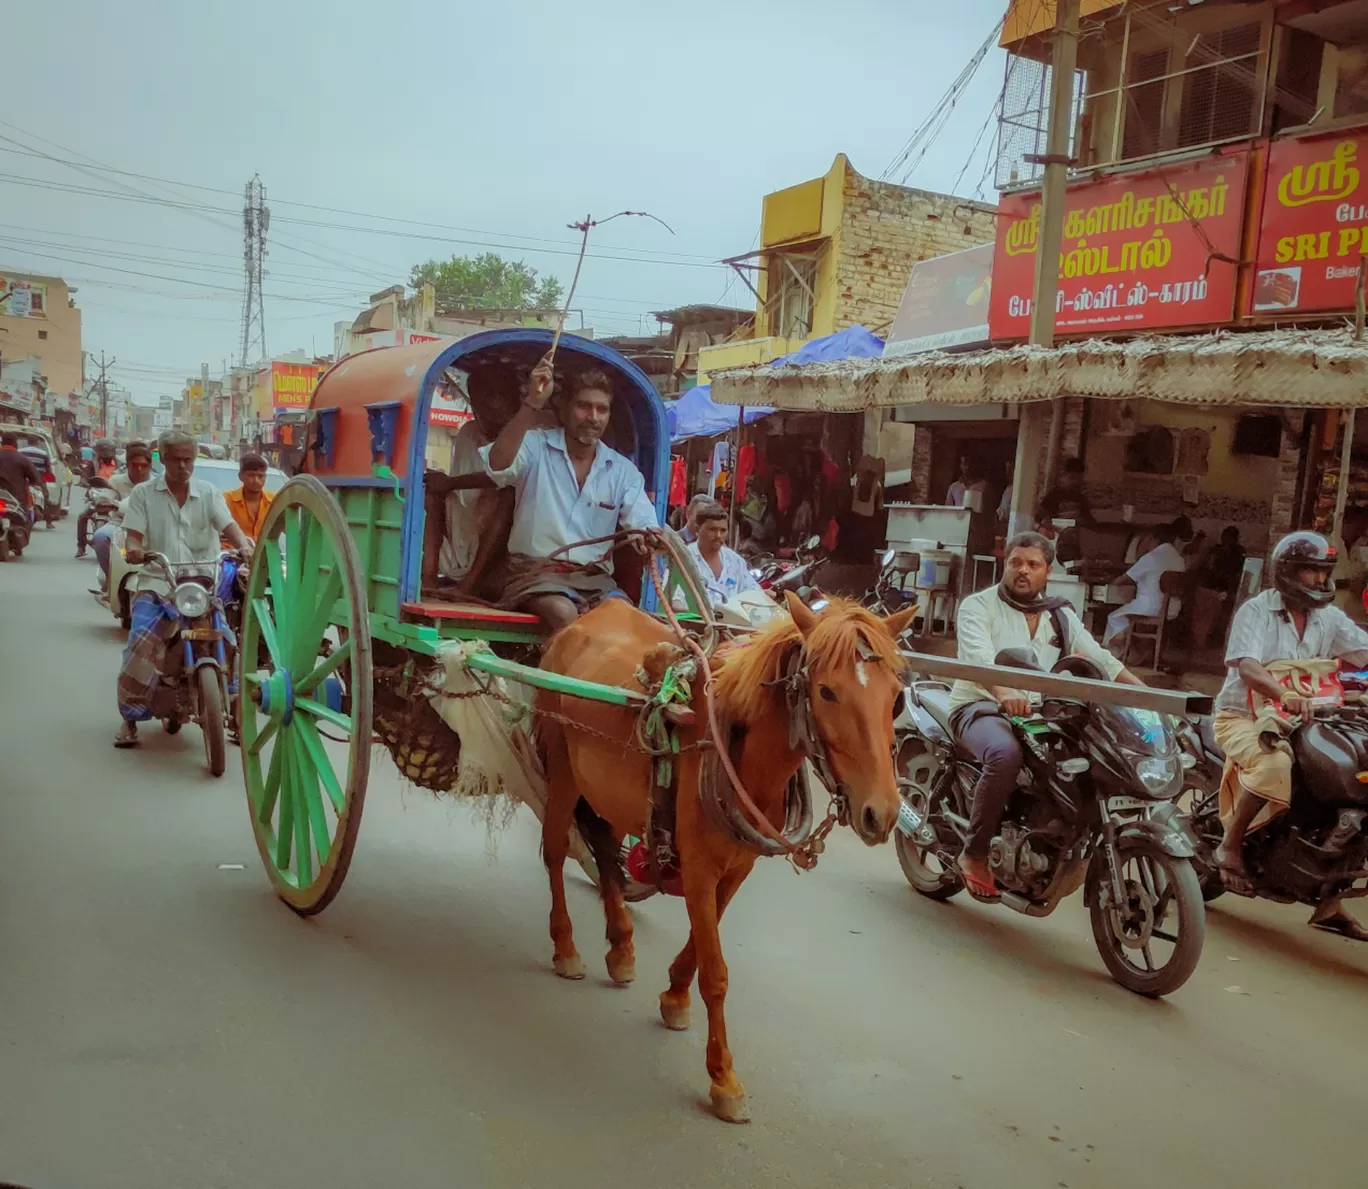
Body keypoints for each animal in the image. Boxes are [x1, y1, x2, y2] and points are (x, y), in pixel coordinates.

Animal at [536, 588, 919, 1116]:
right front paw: (723, 1078)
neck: (735, 751)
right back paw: (567, 947)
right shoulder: (697, 866)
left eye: (896, 697)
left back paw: (621, 947)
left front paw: (674, 996)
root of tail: (585, 619)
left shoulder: (738, 867)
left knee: (607, 853)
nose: (880, 813)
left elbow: (704, 942)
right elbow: (715, 972)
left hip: (604, 790)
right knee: (555, 850)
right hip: (562, 768)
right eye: (826, 692)